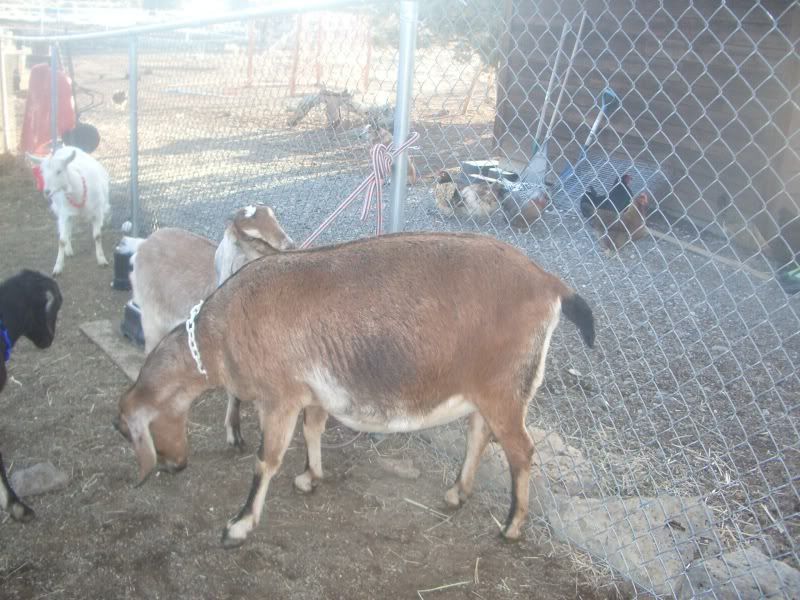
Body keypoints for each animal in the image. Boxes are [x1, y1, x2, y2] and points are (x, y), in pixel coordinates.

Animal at [27, 146, 111, 276]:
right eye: (42, 172)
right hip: (63, 211)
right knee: (68, 230)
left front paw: (102, 260)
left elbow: (97, 236)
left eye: (59, 171)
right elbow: (61, 240)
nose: (47, 191)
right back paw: (68, 250)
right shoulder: (65, 214)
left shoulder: (98, 212)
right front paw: (57, 267)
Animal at [114, 232, 595, 547]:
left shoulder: (281, 396)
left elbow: (265, 461)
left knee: (522, 451)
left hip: (505, 388)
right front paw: (310, 477)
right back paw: (457, 492)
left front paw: (239, 525)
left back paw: (512, 526)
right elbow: (313, 431)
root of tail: (551, 284)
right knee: (479, 434)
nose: (172, 466)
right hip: (487, 389)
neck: (219, 335)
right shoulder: (312, 394)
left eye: (125, 430)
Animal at [127, 204, 295, 448]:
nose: (289, 246)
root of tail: (145, 242)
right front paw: (234, 434)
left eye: (274, 218)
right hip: (150, 316)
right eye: (253, 238)